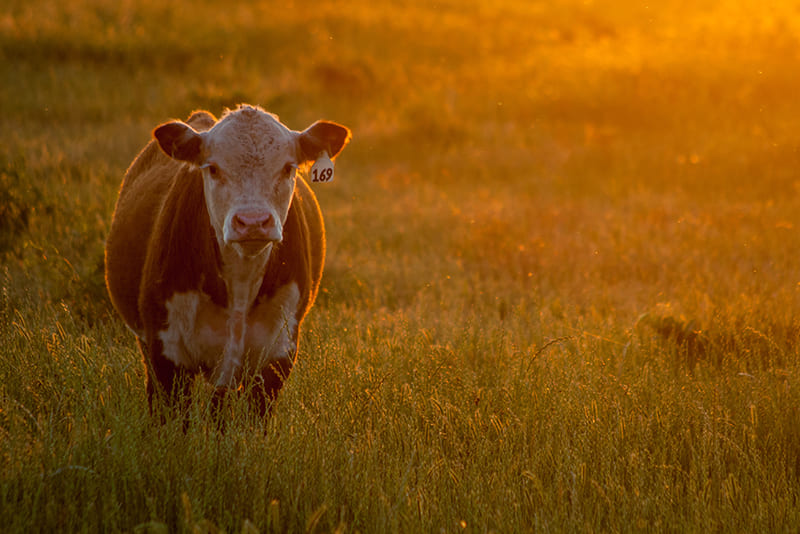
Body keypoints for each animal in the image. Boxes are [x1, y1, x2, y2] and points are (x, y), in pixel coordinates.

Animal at [104, 103, 352, 414]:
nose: (253, 221)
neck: (241, 280)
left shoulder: (277, 354)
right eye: (212, 168)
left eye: (287, 168)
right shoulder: (167, 352)